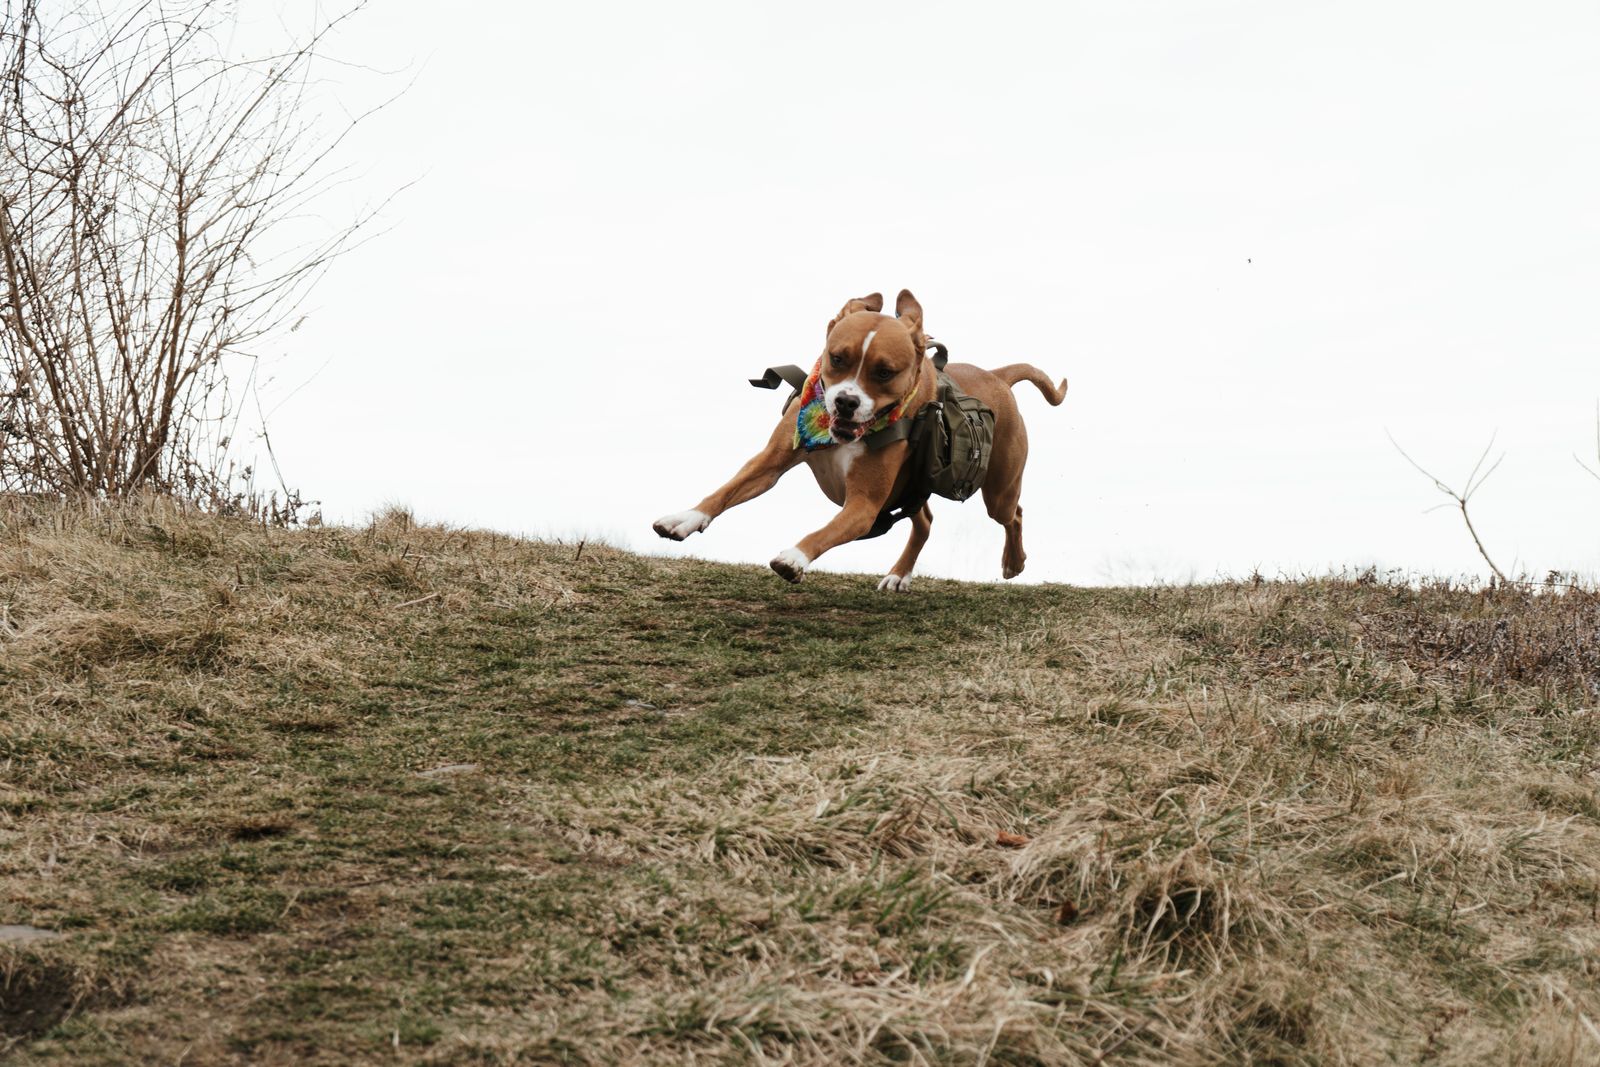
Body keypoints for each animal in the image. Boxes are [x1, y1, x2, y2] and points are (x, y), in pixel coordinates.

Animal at [652, 290, 1066, 589]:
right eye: (837, 358)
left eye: (884, 372)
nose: (846, 401)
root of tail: (997, 375)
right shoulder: (769, 462)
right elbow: (725, 490)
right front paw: (684, 519)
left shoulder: (864, 506)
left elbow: (826, 531)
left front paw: (795, 557)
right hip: (912, 488)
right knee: (925, 520)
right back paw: (899, 574)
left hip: (998, 489)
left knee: (1013, 514)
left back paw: (1013, 561)